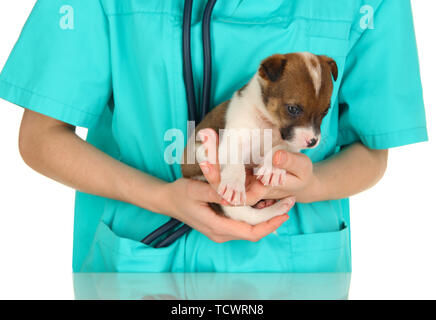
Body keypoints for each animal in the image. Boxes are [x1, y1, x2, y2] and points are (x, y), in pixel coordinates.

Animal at [181, 52, 338, 225]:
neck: (269, 123)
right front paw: (234, 182)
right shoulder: (235, 136)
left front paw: (273, 168)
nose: (312, 142)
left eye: (326, 111)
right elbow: (234, 160)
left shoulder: (292, 143)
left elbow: (281, 148)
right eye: (293, 109)